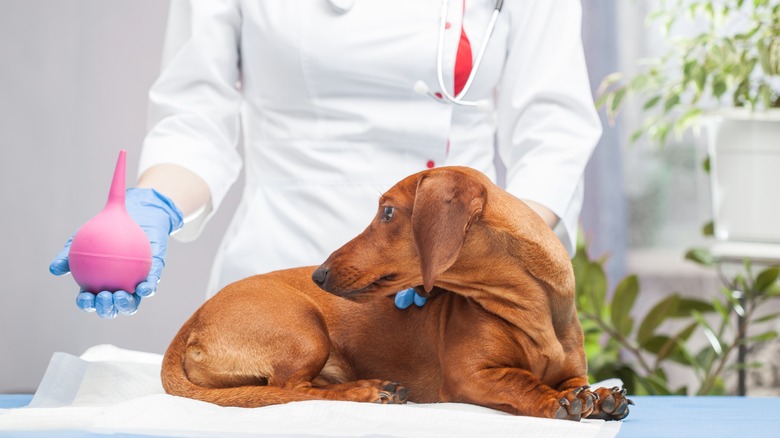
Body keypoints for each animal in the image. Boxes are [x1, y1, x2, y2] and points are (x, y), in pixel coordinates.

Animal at [161, 166, 632, 420]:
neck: (531, 312)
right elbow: (522, 382)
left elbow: (579, 383)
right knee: (290, 390)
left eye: (387, 212)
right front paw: (555, 401)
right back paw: (368, 391)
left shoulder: (573, 371)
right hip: (304, 332)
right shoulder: (472, 376)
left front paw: (601, 398)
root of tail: (190, 325)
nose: (318, 274)